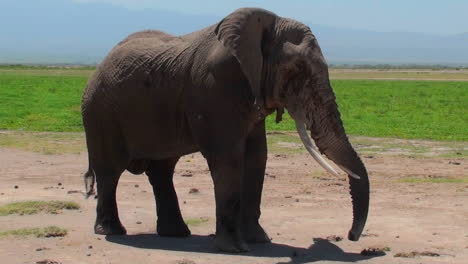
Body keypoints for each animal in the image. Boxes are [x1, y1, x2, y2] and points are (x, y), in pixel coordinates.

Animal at [82, 7, 372, 253]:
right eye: (297, 69)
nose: (351, 236)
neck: (267, 25)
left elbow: (257, 157)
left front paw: (259, 241)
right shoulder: (216, 85)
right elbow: (228, 157)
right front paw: (235, 249)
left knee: (162, 171)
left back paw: (176, 233)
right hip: (99, 113)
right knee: (110, 171)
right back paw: (112, 231)